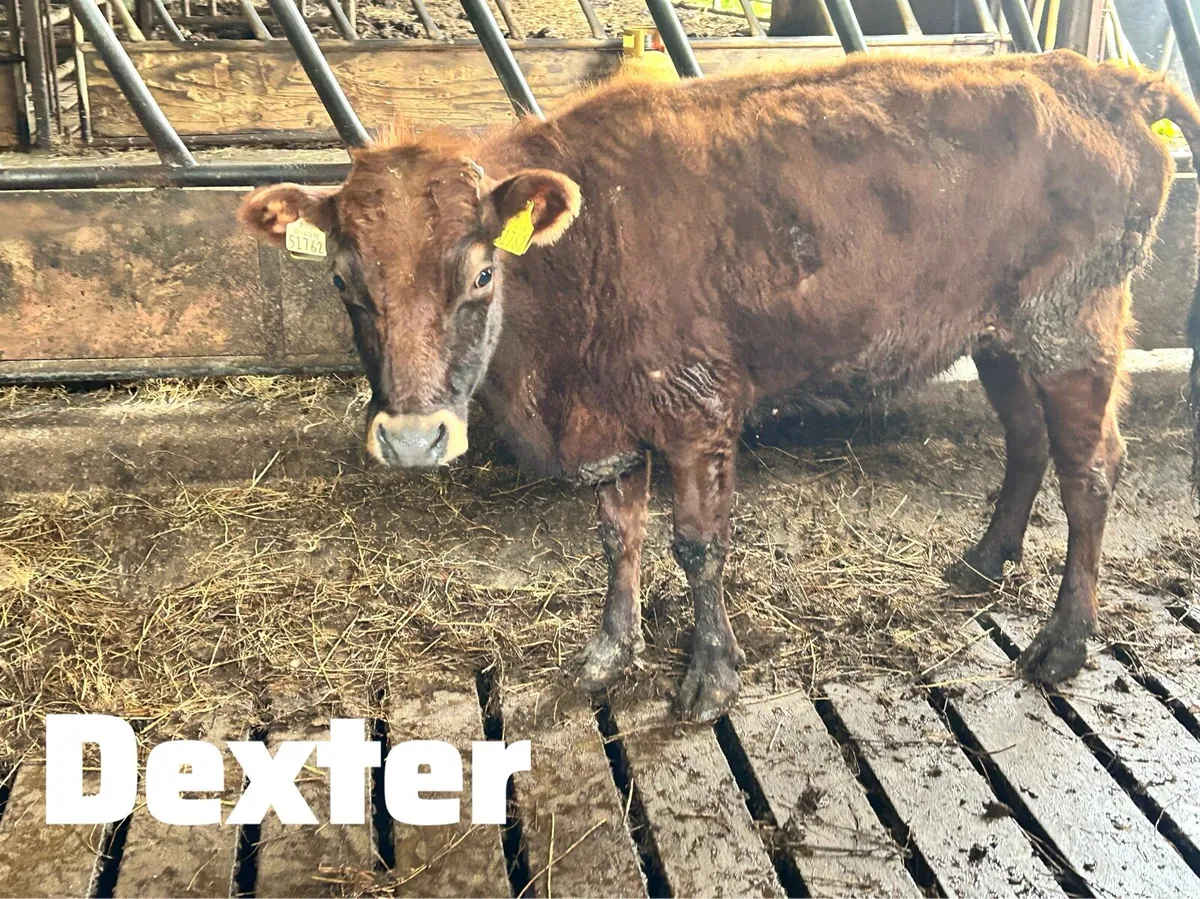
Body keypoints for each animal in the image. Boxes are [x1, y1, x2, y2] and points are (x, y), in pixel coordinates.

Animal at [240, 50, 1200, 723]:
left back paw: (1062, 644)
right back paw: (982, 561)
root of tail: (1108, 80)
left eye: (481, 272)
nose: (413, 438)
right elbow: (615, 535)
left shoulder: (696, 407)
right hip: (999, 333)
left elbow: (698, 546)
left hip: (1073, 325)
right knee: (1027, 440)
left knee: (1091, 471)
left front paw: (709, 677)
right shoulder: (609, 419)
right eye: (342, 280)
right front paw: (608, 651)